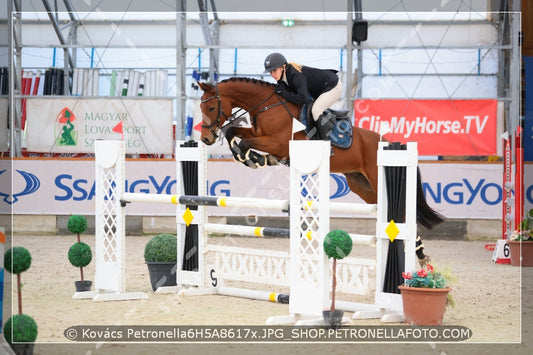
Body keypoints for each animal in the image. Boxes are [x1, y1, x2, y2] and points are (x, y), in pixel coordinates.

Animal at [197, 77, 442, 262]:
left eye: (211, 107)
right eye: (201, 107)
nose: (206, 139)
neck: (267, 105)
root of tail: (391, 143)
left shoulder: (277, 143)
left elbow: (246, 142)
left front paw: (252, 158)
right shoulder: (259, 135)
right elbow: (232, 131)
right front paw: (248, 156)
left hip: (376, 179)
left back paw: (419, 255)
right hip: (362, 186)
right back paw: (418, 254)